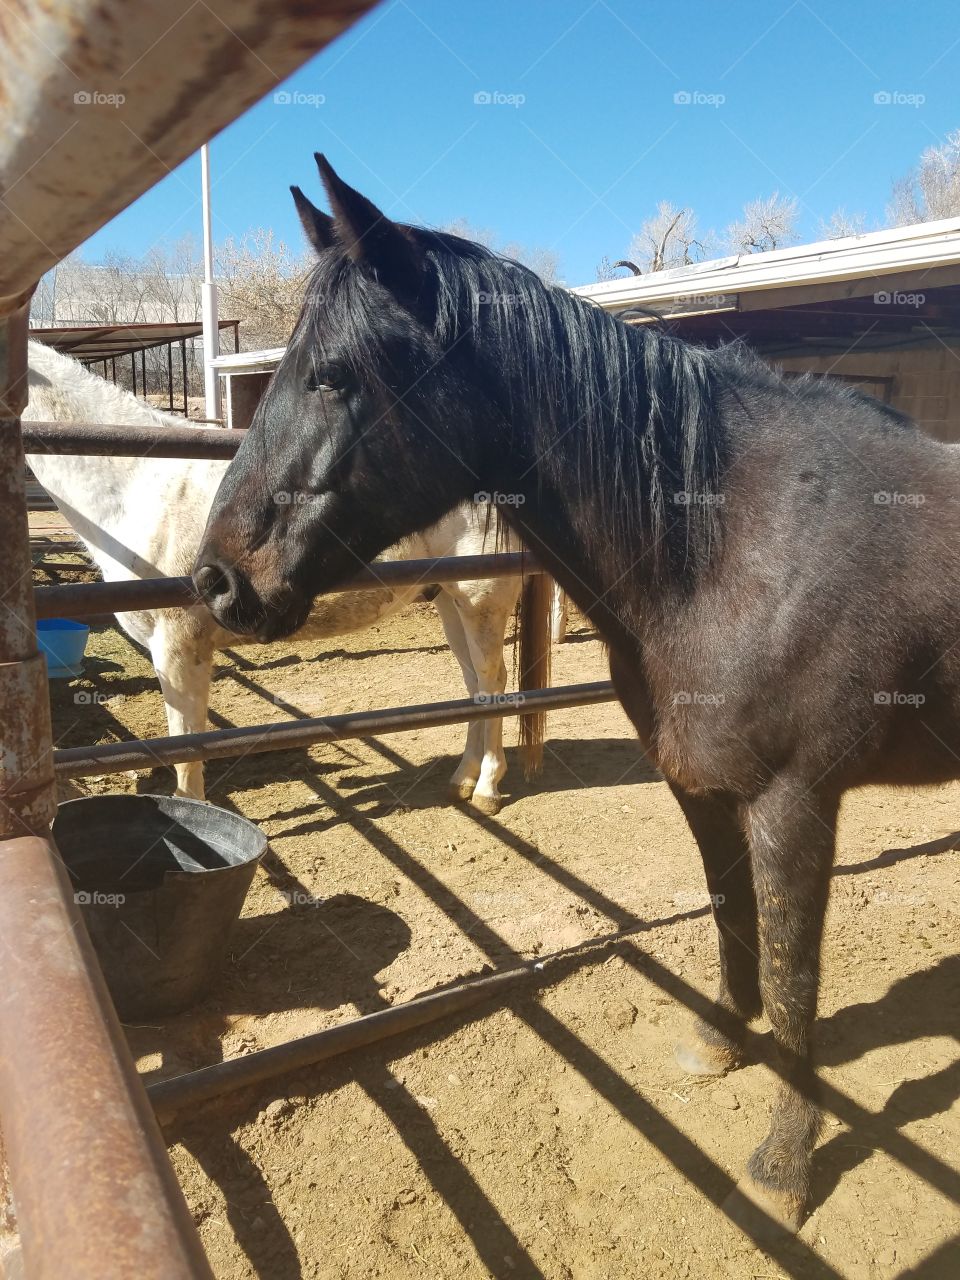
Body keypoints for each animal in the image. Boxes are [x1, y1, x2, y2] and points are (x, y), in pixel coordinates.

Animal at [24, 343, 547, 808]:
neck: (140, 489)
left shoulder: (178, 650)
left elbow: (186, 749)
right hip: (449, 599)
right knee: (474, 684)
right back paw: (462, 779)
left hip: (482, 599)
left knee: (493, 679)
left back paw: (486, 788)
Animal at [193, 154, 960, 1233]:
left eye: (334, 375)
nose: (215, 581)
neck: (735, 549)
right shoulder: (702, 788)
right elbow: (731, 918)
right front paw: (719, 1042)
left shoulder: (796, 807)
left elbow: (795, 974)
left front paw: (784, 1166)